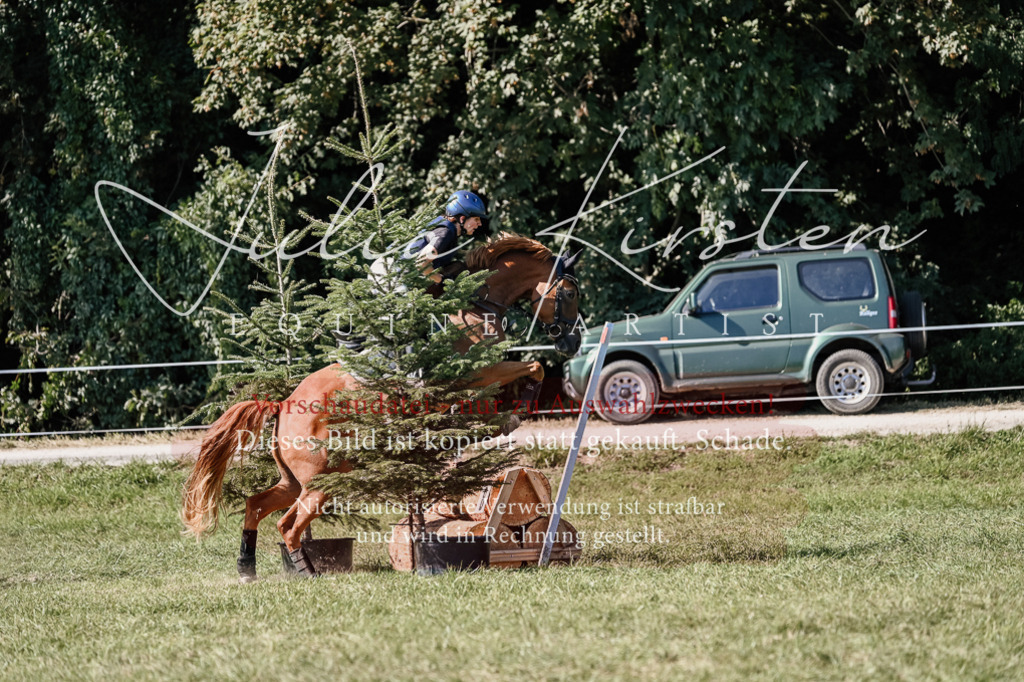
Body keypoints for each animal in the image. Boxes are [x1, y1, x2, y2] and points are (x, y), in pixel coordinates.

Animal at [181, 235, 582, 581]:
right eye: (570, 292)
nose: (573, 343)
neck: (474, 308)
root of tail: (283, 405)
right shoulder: (473, 373)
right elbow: (532, 367)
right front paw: (515, 411)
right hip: (322, 481)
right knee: (288, 526)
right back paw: (307, 573)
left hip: (295, 480)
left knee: (256, 506)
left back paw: (246, 568)